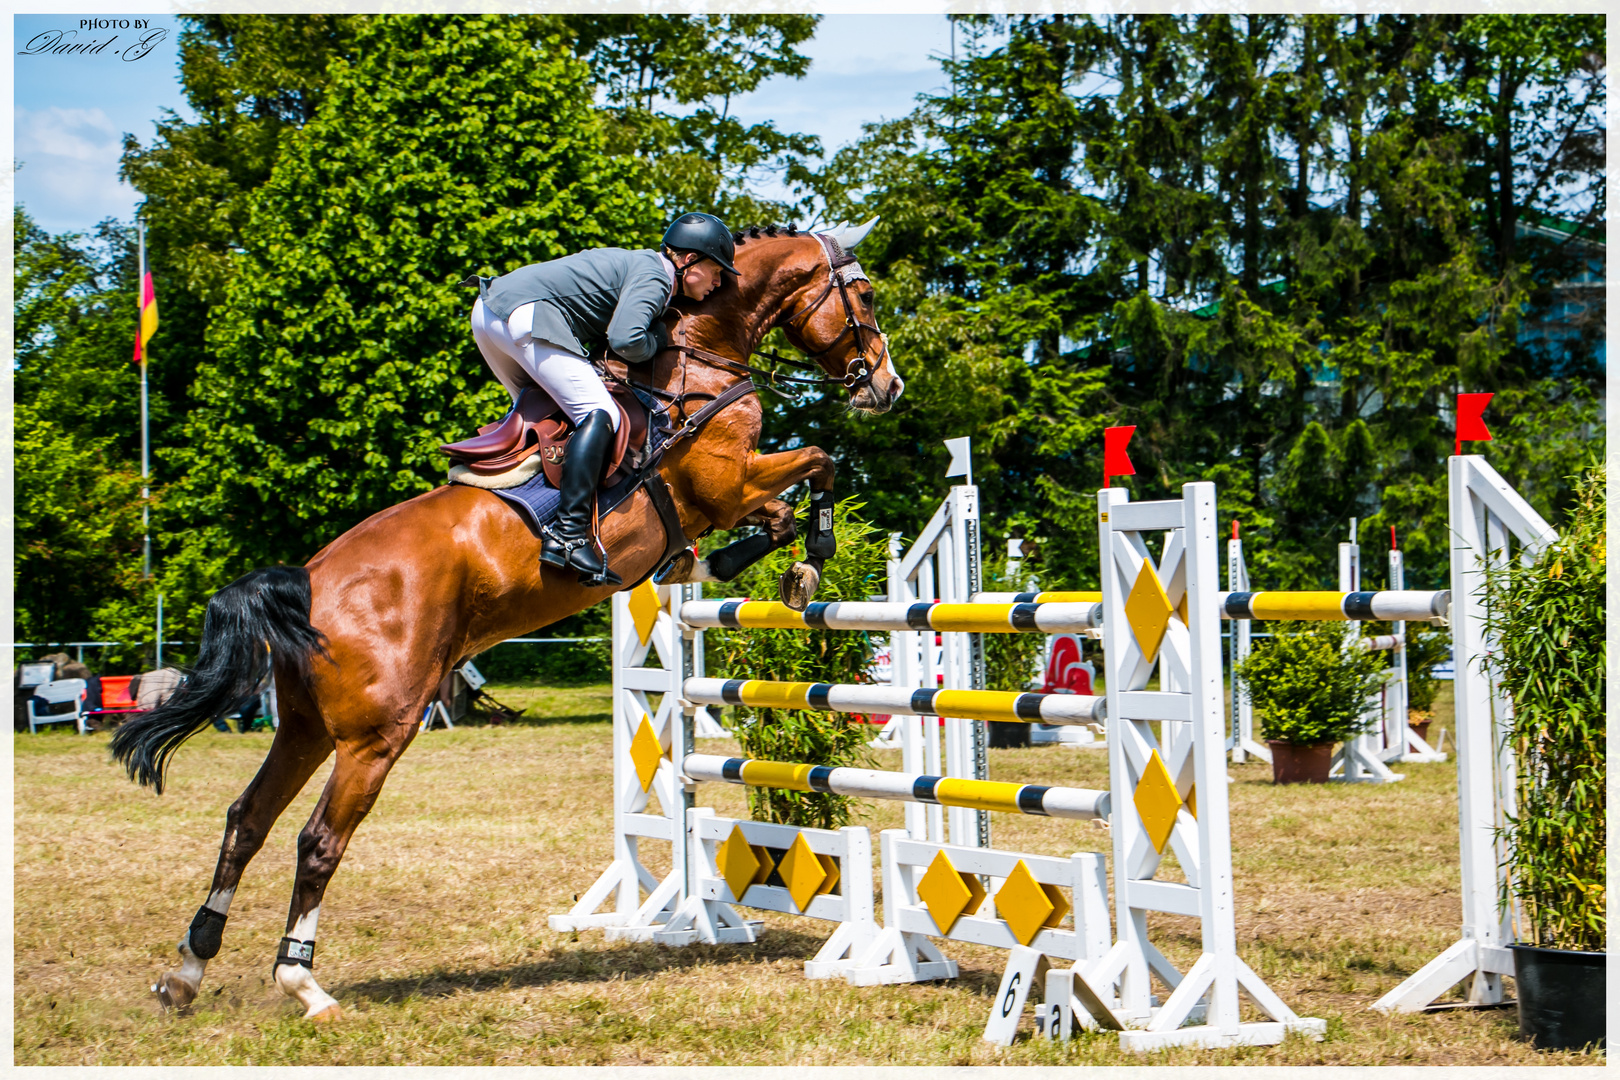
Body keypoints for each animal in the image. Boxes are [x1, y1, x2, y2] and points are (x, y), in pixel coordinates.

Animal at [107, 221, 907, 1023]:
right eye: (865, 296)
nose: (887, 388)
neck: (696, 362)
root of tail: (308, 580)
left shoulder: (730, 494)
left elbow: (775, 516)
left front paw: (749, 568)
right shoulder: (725, 482)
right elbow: (820, 461)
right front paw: (813, 553)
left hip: (303, 725)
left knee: (247, 819)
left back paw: (187, 970)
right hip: (375, 734)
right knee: (318, 840)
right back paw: (303, 982)